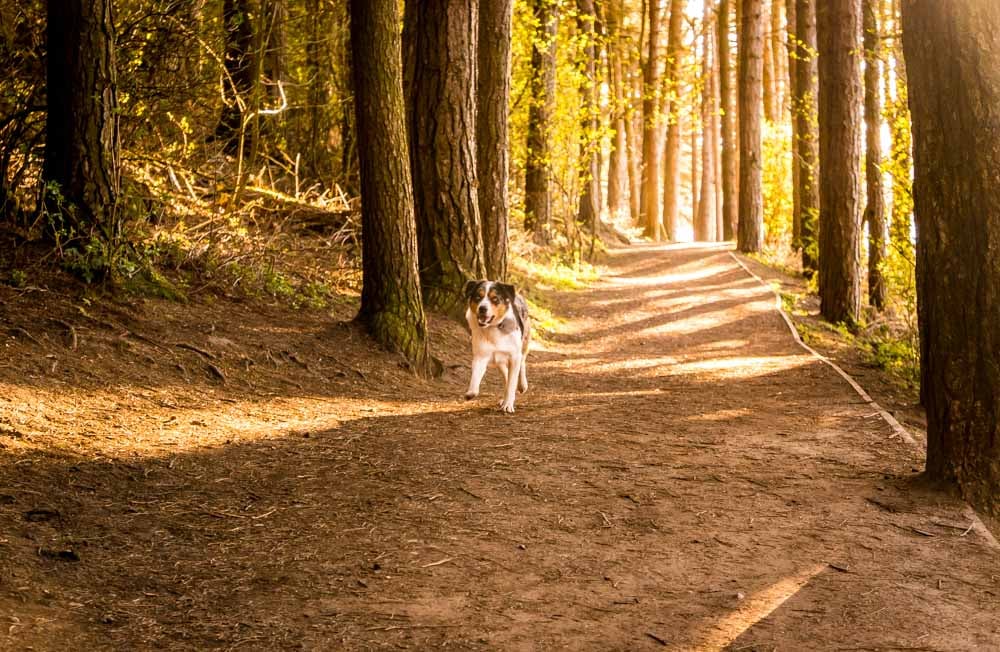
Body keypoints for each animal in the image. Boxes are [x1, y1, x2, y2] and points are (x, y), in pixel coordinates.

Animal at [464, 278, 532, 412]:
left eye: (495, 298)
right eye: (478, 297)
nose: (482, 308)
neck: (493, 328)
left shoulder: (514, 356)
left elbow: (512, 382)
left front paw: (508, 405)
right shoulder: (481, 355)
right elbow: (475, 376)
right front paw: (470, 393)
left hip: (525, 340)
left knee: (522, 361)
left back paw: (522, 385)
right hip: (498, 359)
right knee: (506, 373)